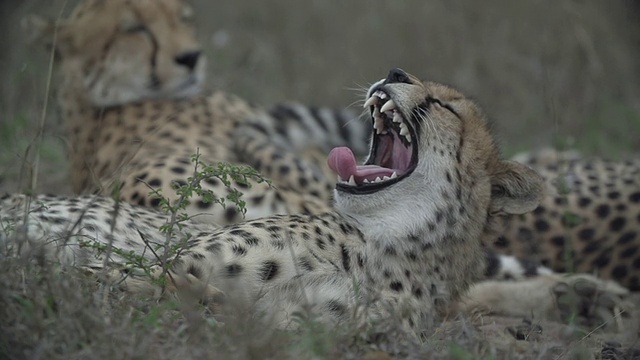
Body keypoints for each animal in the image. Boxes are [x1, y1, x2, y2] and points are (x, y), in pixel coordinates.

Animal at [2, 69, 628, 334]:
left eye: (446, 106)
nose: (395, 70)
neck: (391, 243)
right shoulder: (170, 260)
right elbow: (136, 277)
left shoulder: (304, 324)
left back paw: (587, 298)